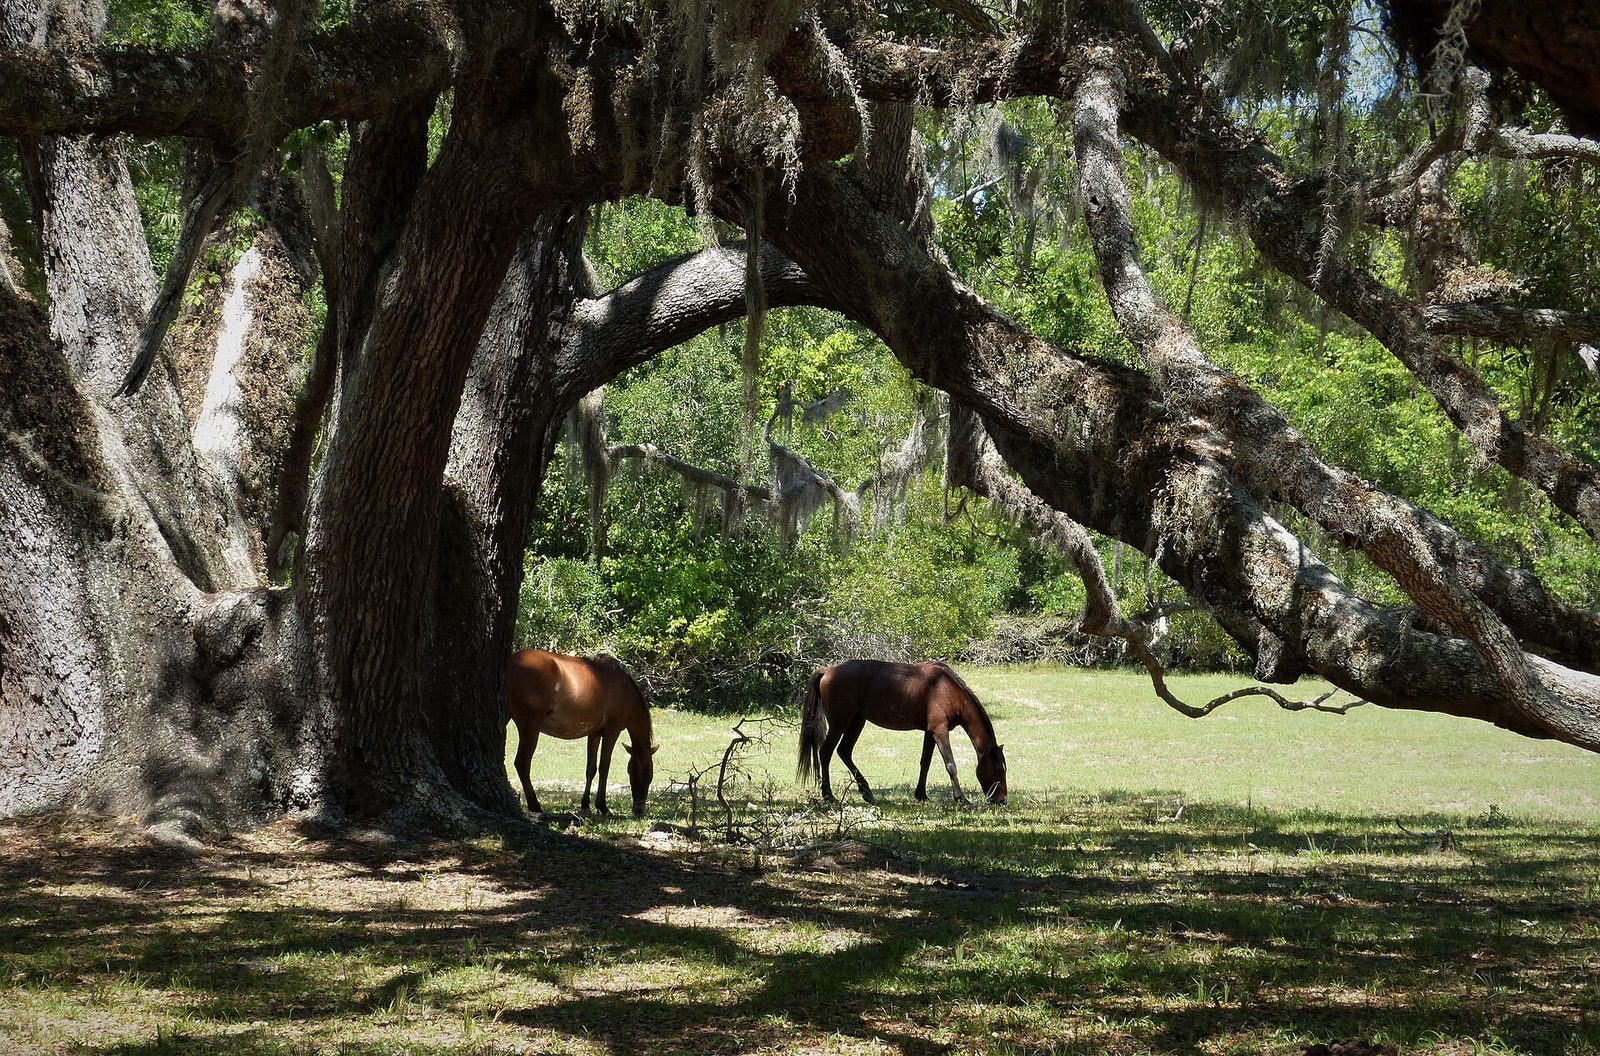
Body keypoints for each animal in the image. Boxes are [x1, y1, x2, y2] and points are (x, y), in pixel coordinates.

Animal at [504, 648, 656, 817]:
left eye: (649, 775)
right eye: (643, 773)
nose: (639, 810)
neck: (623, 688)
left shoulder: (594, 733)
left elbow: (591, 768)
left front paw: (585, 805)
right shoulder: (611, 732)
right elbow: (604, 767)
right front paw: (603, 807)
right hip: (530, 727)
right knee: (522, 763)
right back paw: (535, 806)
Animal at [797, 659, 1007, 805]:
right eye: (998, 769)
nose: (1002, 800)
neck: (947, 688)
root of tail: (828, 670)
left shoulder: (930, 732)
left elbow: (925, 762)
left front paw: (921, 795)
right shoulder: (940, 730)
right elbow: (950, 764)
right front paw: (961, 798)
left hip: (856, 721)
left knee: (844, 752)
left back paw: (867, 793)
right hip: (840, 722)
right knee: (826, 753)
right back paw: (828, 795)